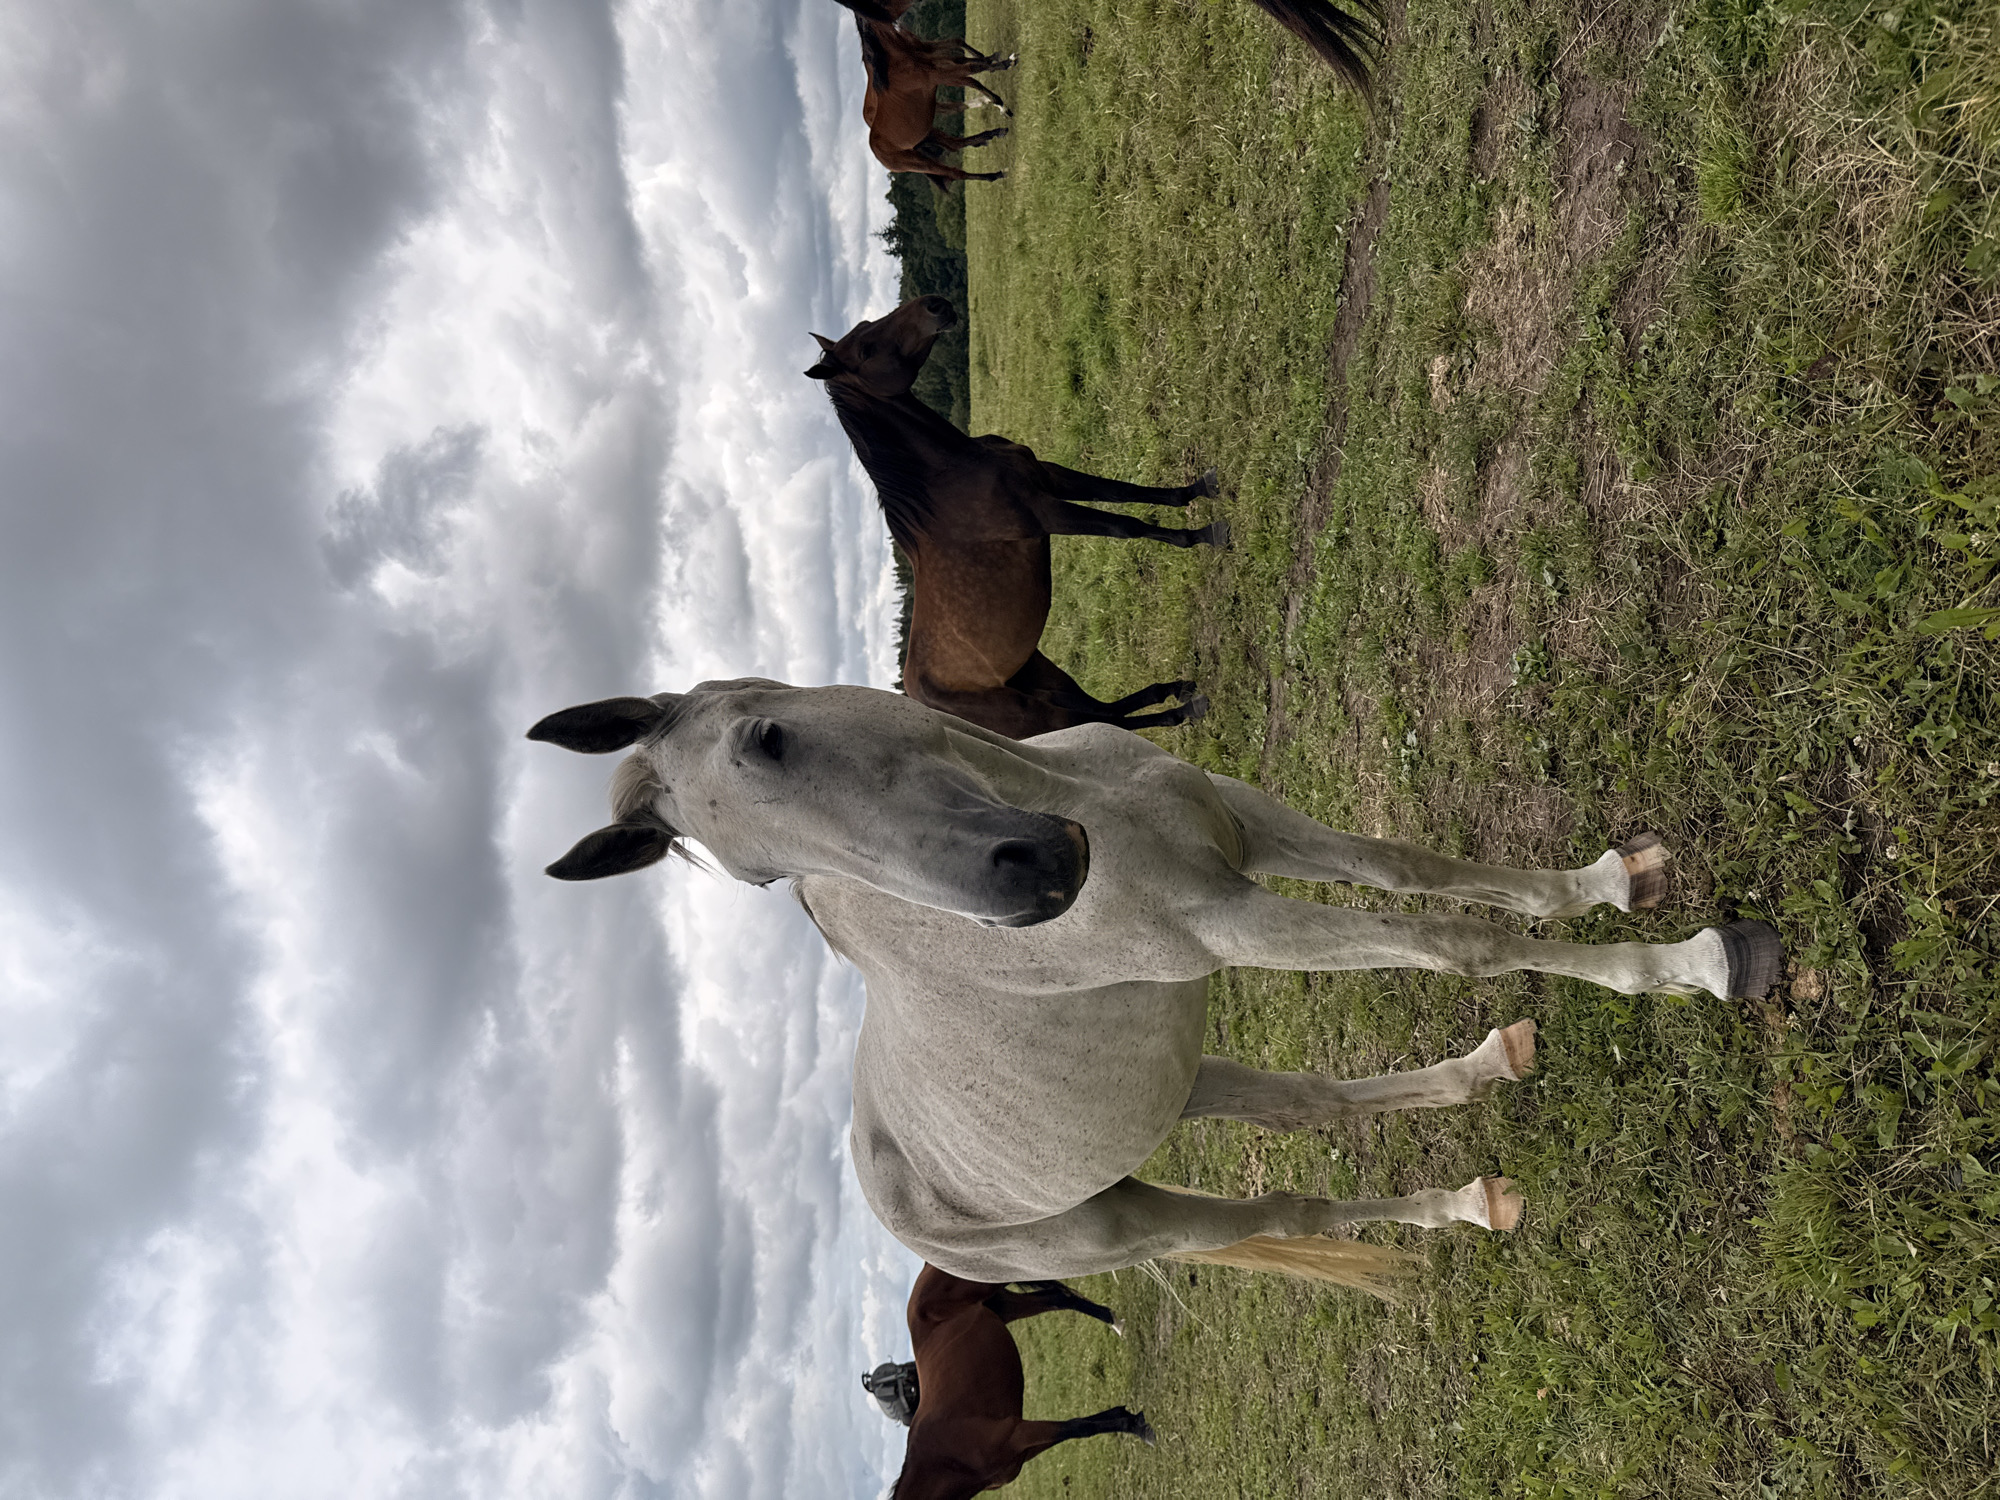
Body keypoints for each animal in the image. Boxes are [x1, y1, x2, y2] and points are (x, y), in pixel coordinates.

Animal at [529, 680, 1784, 1284]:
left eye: (769, 739)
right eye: (761, 874)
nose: (1029, 880)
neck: (1087, 805)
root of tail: (904, 1217)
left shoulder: (1251, 829)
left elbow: (1414, 873)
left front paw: (1607, 882)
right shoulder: (1232, 922)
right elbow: (1447, 943)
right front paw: (1693, 962)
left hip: (1177, 1082)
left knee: (1309, 1108)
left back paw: (1482, 1112)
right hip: (1133, 1223)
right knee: (1291, 1208)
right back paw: (1465, 1197)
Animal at [807, 295, 1223, 739]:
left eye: (867, 325)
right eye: (866, 350)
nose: (933, 305)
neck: (948, 474)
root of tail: (922, 701)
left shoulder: (1050, 479)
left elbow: (1124, 491)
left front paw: (1198, 490)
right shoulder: (1045, 513)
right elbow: (1127, 526)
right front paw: (1205, 535)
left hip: (1045, 676)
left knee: (1104, 710)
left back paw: (1176, 689)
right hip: (1038, 713)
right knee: (1106, 721)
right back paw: (1185, 708)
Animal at [833, 0, 1016, 189]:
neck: (898, 63)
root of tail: (878, 152)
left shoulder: (936, 60)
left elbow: (962, 51)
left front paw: (998, 60)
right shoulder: (943, 75)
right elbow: (974, 72)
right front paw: (1002, 102)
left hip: (928, 132)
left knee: (954, 143)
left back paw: (994, 133)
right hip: (920, 162)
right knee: (955, 172)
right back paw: (995, 174)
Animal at [874, 1267, 1152, 1498]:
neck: (944, 1461)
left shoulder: (1016, 1433)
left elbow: (1079, 1427)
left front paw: (1138, 1426)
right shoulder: (1023, 1450)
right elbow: (1081, 1425)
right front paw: (1126, 1416)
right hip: (1007, 1306)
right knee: (1057, 1298)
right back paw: (1115, 1322)